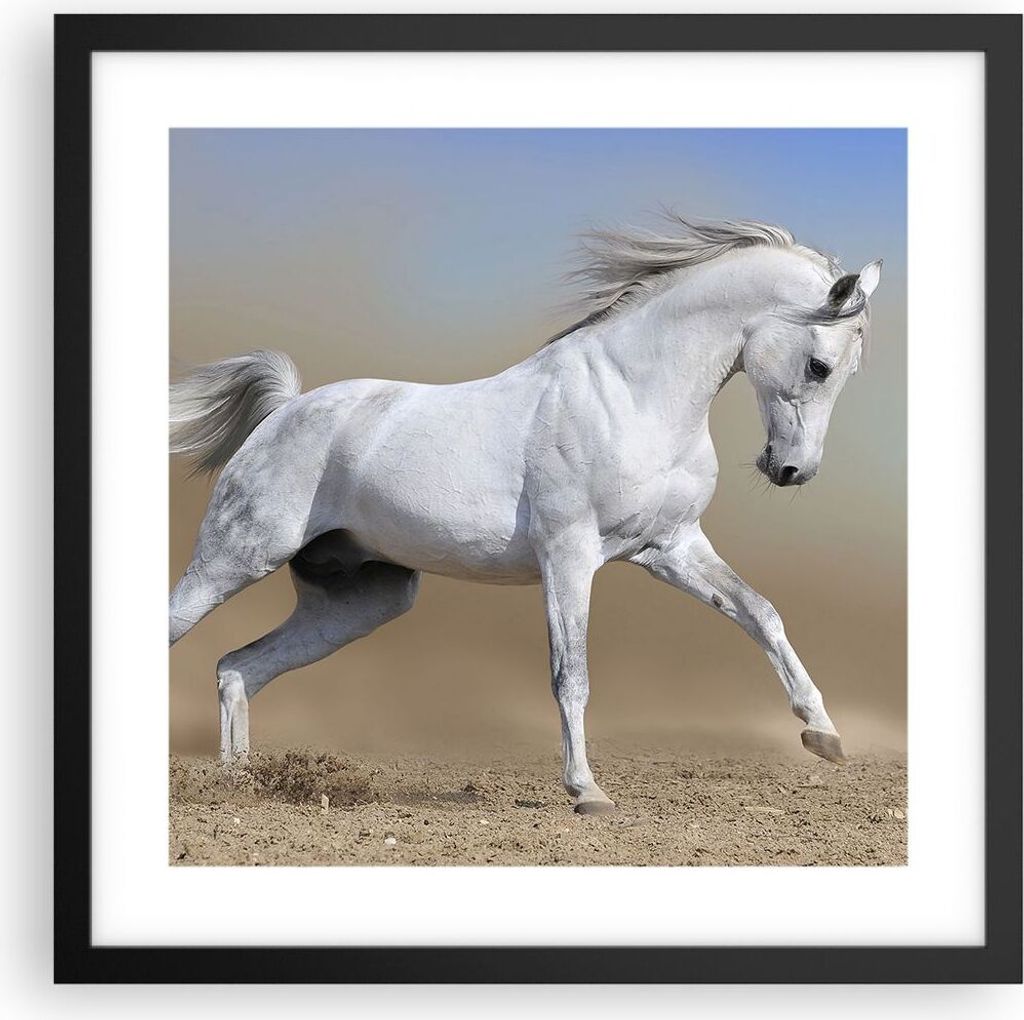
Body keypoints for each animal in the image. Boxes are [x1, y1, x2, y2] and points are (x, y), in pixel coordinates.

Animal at [169, 216, 881, 814]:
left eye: (851, 371)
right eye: (819, 365)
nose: (791, 470)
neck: (632, 396)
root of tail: (284, 411)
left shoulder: (671, 548)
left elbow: (761, 613)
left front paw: (823, 734)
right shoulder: (569, 555)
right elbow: (572, 674)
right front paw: (586, 791)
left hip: (360, 601)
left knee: (238, 668)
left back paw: (241, 784)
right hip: (234, 559)